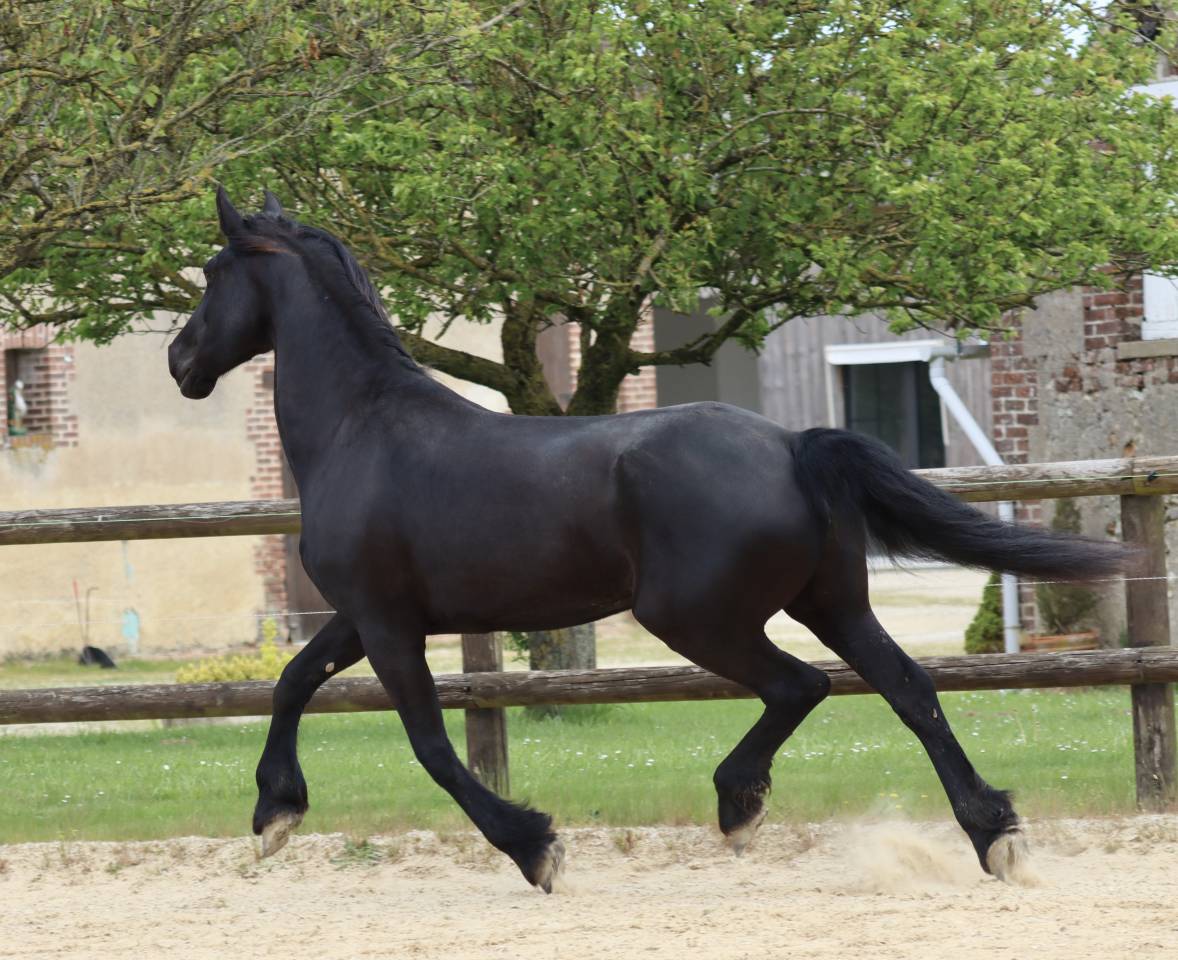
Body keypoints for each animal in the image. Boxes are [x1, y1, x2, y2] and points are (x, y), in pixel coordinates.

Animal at [169, 188, 1127, 891]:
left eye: (212, 272)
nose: (180, 362)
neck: (361, 429)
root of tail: (791, 445)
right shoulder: (362, 616)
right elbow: (293, 680)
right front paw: (274, 815)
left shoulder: (388, 623)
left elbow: (432, 747)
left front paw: (536, 846)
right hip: (830, 602)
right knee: (907, 688)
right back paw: (993, 834)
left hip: (695, 617)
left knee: (801, 685)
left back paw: (740, 805)